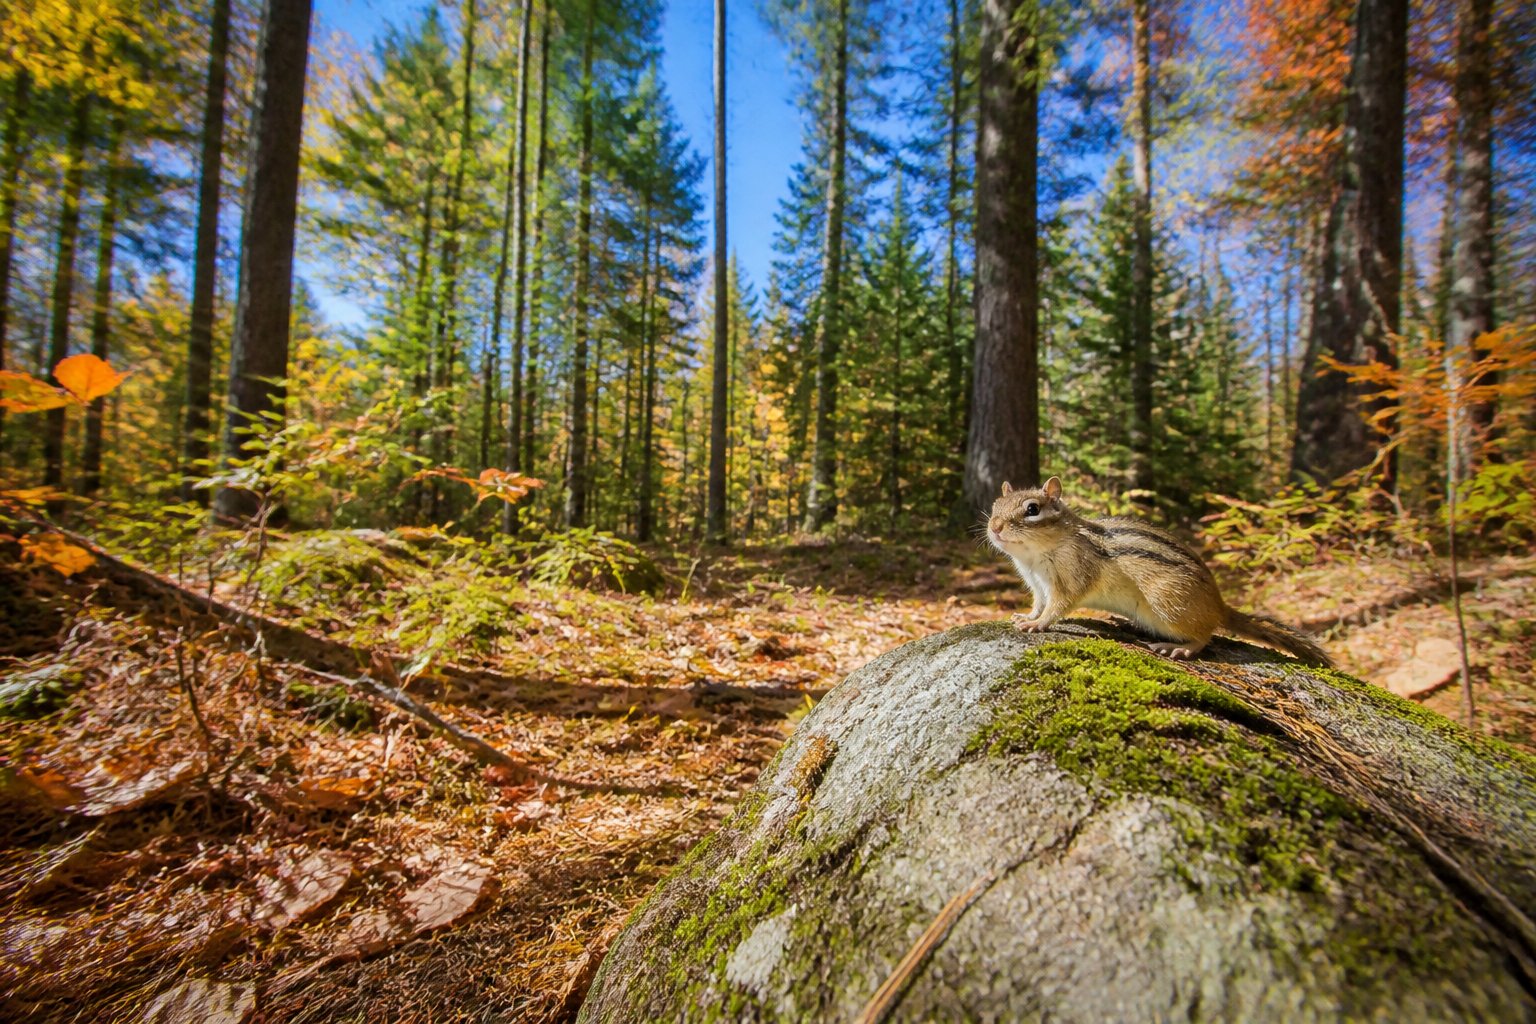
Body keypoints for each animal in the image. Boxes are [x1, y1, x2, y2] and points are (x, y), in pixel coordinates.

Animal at [986, 477, 1332, 667]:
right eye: (994, 506)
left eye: (1032, 510)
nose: (995, 527)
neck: (1033, 557)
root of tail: (1219, 606)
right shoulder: (1037, 584)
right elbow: (1038, 604)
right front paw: (1026, 616)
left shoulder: (1072, 574)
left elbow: (1059, 606)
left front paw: (1038, 624)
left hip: (1168, 603)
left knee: (1206, 635)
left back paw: (1180, 647)